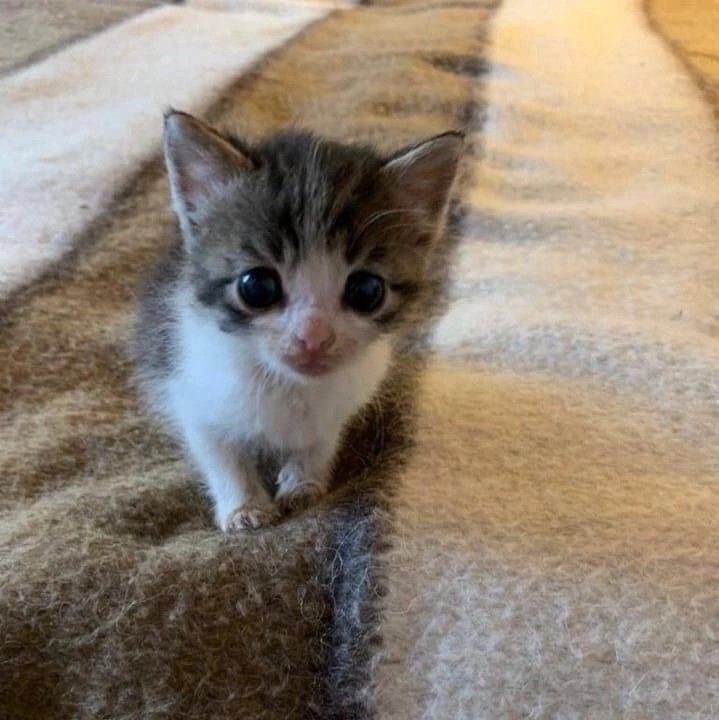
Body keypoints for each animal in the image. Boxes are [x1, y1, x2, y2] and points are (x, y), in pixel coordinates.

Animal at [134, 109, 462, 532]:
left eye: (366, 290)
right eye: (256, 287)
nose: (314, 338)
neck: (287, 386)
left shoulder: (342, 400)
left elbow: (319, 440)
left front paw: (303, 483)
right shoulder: (190, 390)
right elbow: (221, 454)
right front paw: (244, 506)